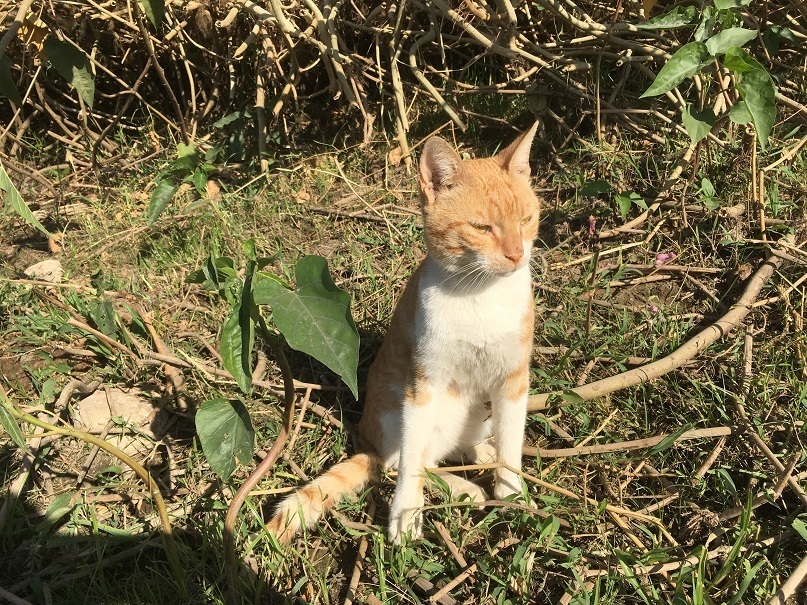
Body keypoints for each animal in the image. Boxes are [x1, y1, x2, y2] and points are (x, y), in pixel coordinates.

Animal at [268, 122, 540, 544]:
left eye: (526, 220)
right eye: (482, 228)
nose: (517, 254)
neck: (481, 294)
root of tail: (368, 440)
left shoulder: (513, 378)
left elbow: (512, 442)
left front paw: (512, 495)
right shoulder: (422, 383)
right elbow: (412, 461)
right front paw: (406, 512)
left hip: (478, 407)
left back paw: (480, 453)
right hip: (423, 409)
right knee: (406, 460)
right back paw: (463, 487)